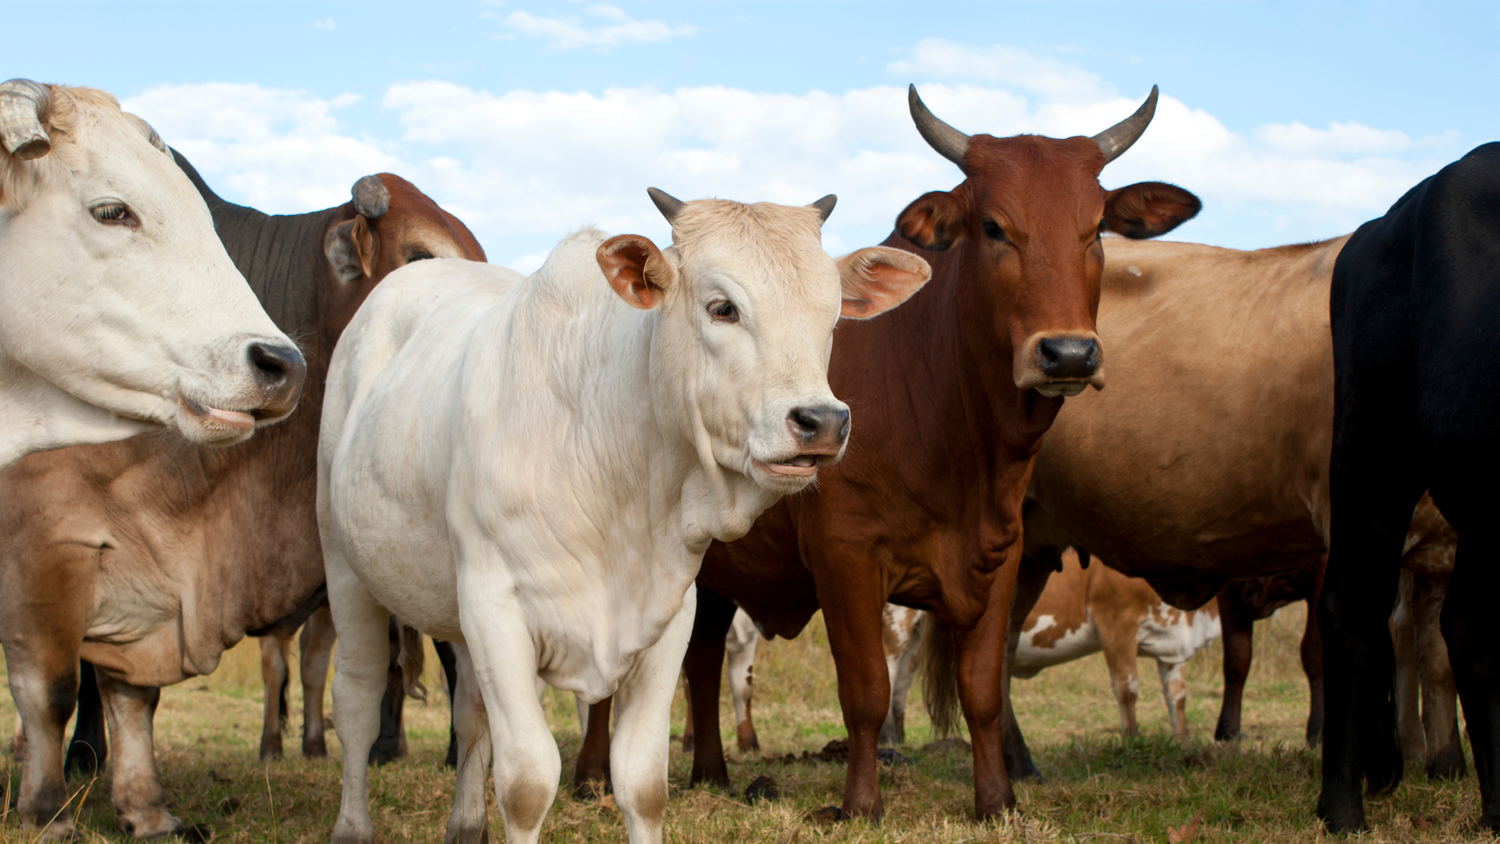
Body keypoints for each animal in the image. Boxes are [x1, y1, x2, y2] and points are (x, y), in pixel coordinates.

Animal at [0, 157, 484, 841]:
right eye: (420, 256)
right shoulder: (47, 541)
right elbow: (54, 689)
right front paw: (51, 807)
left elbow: (130, 693)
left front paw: (144, 807)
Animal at [317, 192, 932, 844]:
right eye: (723, 308)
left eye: (832, 317)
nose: (822, 422)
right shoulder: (494, 607)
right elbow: (528, 784)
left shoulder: (668, 618)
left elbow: (641, 782)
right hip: (345, 567)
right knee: (356, 699)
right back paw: (353, 825)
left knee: (471, 713)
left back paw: (465, 823)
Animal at [572, 86, 1202, 824]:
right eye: (993, 226)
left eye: (1097, 228)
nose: (1068, 354)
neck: (953, 424)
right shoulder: (846, 557)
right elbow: (868, 690)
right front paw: (860, 804)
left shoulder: (1001, 556)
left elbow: (982, 689)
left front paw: (997, 801)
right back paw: (590, 774)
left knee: (701, 659)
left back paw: (712, 772)